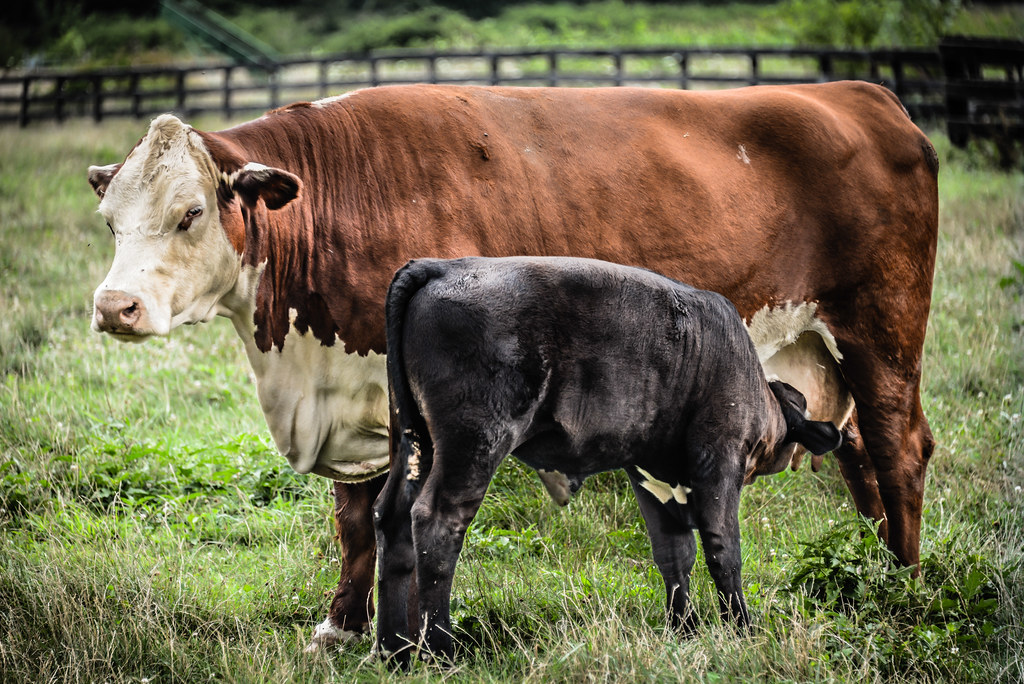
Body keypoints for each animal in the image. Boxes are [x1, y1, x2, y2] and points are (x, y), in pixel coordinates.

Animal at [374, 256, 844, 662]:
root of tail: (442, 265)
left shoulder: (649, 473)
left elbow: (674, 554)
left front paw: (683, 632)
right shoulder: (720, 457)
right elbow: (722, 549)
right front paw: (743, 630)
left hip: (415, 442)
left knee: (391, 517)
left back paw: (394, 650)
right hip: (474, 439)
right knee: (437, 523)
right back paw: (440, 651)